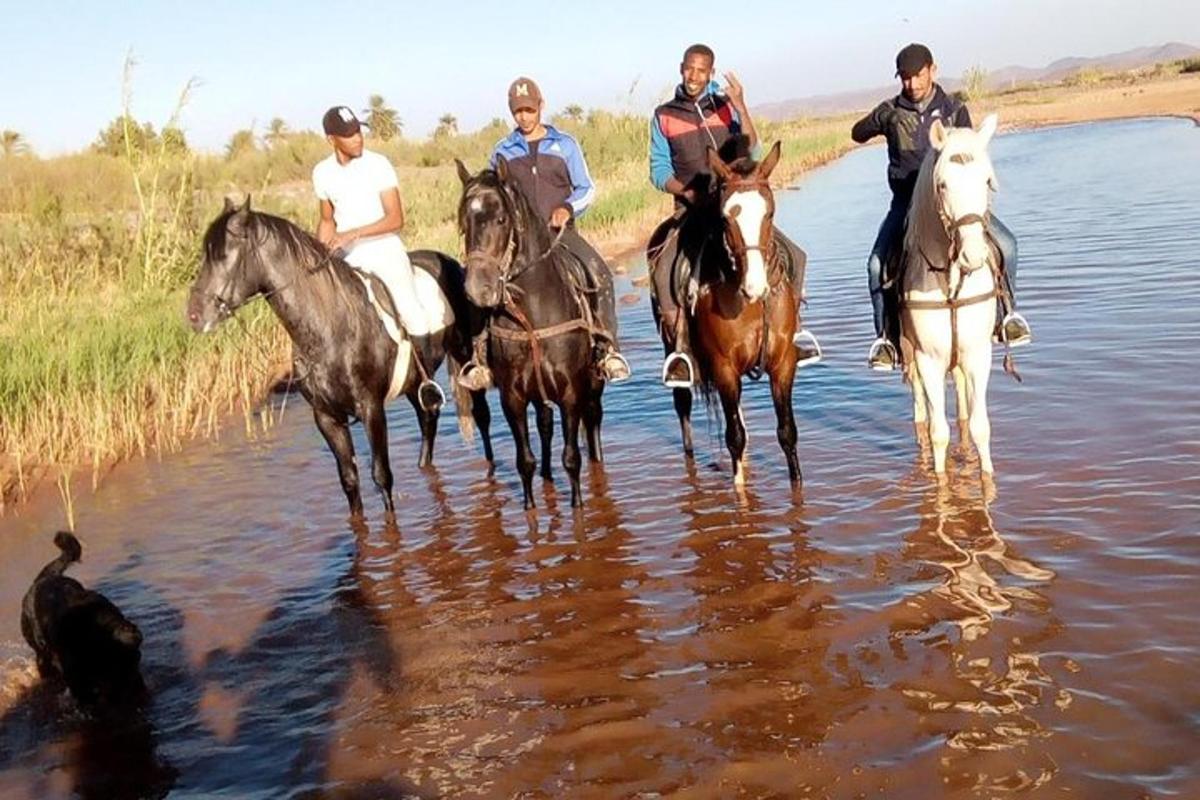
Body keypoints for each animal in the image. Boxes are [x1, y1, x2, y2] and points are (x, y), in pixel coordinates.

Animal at [21, 532, 145, 705]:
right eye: (119, 669)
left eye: (137, 661)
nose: (139, 692)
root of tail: (44, 578)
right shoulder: (77, 681)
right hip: (40, 653)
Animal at [186, 196, 492, 515]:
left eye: (223, 256)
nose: (194, 316)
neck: (330, 328)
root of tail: (451, 263)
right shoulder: (326, 416)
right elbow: (349, 481)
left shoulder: (371, 409)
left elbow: (381, 476)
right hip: (416, 383)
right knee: (428, 419)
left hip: (464, 357)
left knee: (480, 414)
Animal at [456, 157, 614, 510]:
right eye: (463, 224)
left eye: (501, 219)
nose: (478, 288)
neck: (534, 313)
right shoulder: (512, 397)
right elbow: (524, 461)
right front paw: (531, 510)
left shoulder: (571, 391)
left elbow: (572, 458)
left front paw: (579, 508)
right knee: (544, 425)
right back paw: (547, 475)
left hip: (594, 381)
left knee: (594, 419)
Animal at [652, 143, 801, 489]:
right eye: (725, 218)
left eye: (769, 213)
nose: (755, 287)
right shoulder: (723, 369)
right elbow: (734, 438)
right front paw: (740, 495)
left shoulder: (782, 362)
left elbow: (787, 433)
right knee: (684, 407)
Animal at [902, 112, 1003, 474]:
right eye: (943, 184)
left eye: (987, 181)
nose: (972, 256)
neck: (950, 279)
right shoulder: (927, 359)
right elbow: (937, 433)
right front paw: (941, 484)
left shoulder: (977, 354)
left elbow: (980, 427)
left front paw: (986, 480)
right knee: (920, 409)